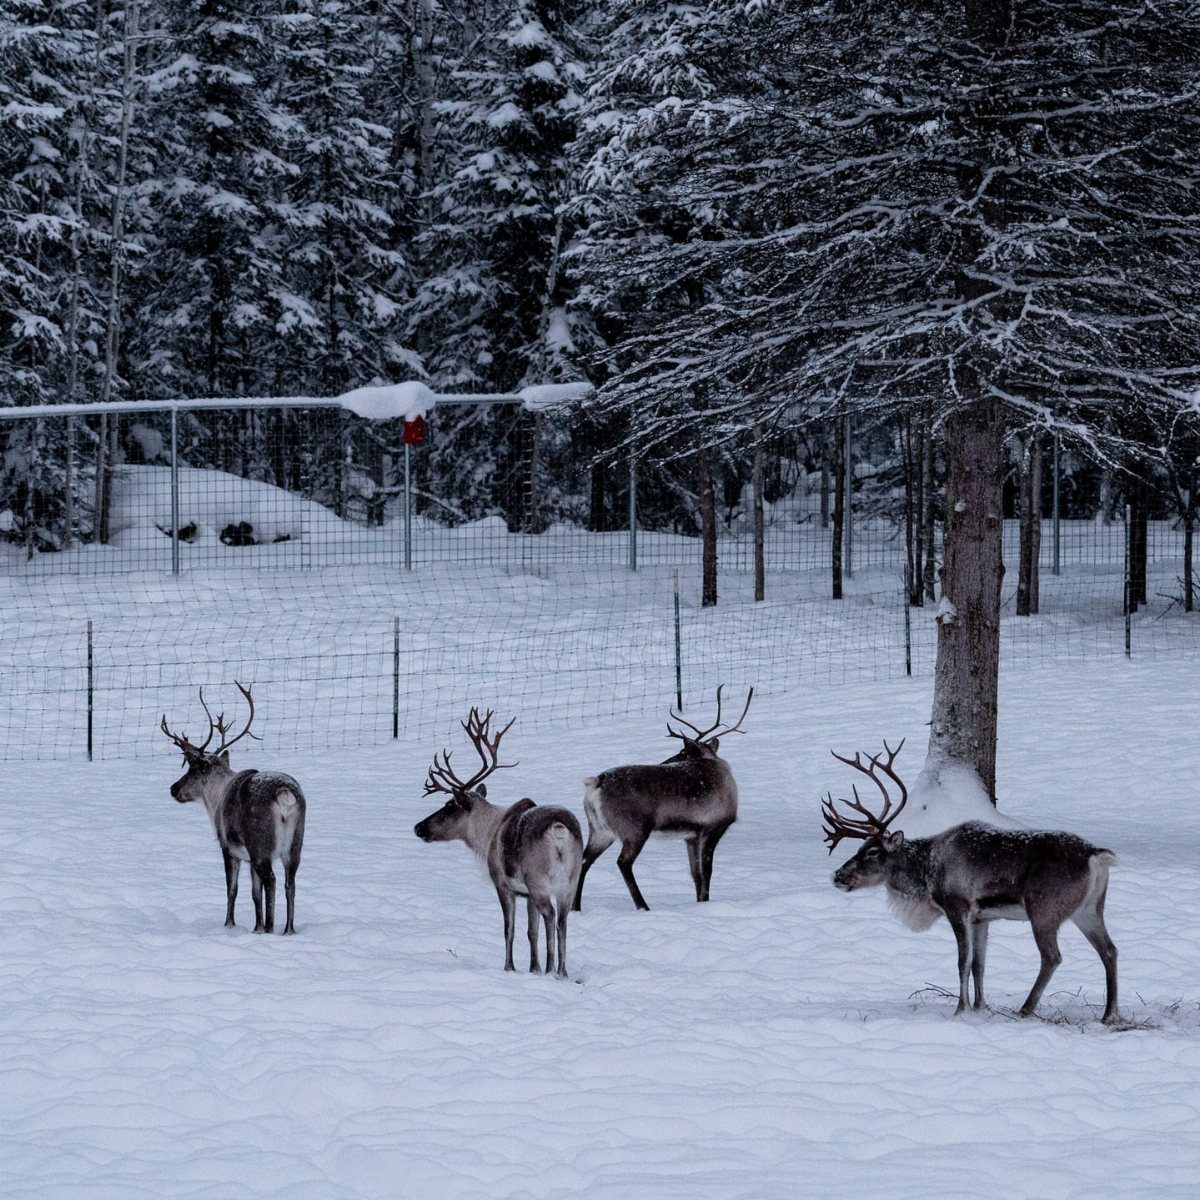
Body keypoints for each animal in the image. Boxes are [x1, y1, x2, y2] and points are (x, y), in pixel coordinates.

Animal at [161, 683, 306, 935]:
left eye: (191, 770)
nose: (173, 788)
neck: (215, 798)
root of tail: (284, 794)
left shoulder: (229, 848)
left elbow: (232, 889)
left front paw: (230, 925)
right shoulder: (249, 859)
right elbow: (255, 893)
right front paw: (256, 928)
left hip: (260, 845)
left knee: (272, 880)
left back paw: (271, 929)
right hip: (295, 845)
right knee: (290, 883)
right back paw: (288, 930)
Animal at [414, 708, 583, 978]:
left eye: (449, 806)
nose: (418, 827)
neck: (486, 836)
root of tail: (559, 829)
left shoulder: (504, 884)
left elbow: (509, 929)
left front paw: (510, 968)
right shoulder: (527, 894)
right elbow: (531, 932)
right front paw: (533, 969)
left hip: (539, 880)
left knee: (550, 915)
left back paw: (551, 971)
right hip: (570, 881)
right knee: (562, 921)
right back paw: (562, 972)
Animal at [572, 686, 752, 913]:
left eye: (682, 753)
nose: (663, 762)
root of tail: (597, 782)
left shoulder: (691, 836)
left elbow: (696, 874)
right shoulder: (713, 828)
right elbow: (707, 871)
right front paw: (705, 902)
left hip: (600, 830)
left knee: (584, 860)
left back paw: (576, 907)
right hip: (635, 830)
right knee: (623, 862)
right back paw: (643, 906)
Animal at [823, 740, 1119, 1024]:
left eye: (872, 852)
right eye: (861, 847)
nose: (838, 876)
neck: (927, 873)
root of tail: (1096, 855)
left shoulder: (957, 907)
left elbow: (963, 962)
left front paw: (960, 1009)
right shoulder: (982, 918)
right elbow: (980, 964)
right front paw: (980, 1007)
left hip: (1044, 910)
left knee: (1052, 957)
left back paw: (1025, 1010)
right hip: (1089, 909)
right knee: (1109, 950)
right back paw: (1109, 1014)